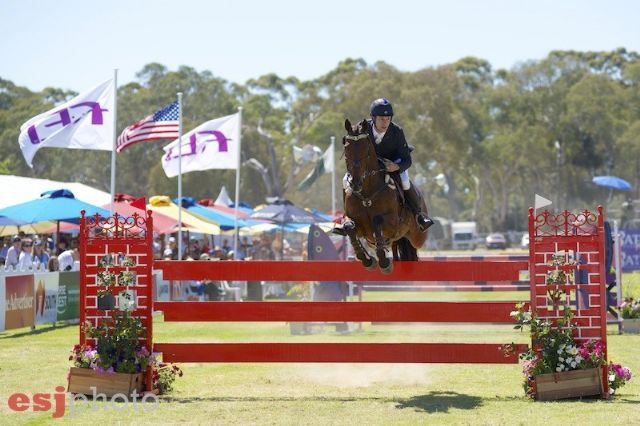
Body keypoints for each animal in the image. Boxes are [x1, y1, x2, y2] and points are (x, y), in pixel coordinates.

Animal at [342, 118, 428, 274]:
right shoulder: (356, 223)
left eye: (367, 149)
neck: (367, 192)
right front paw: (368, 261)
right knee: (395, 247)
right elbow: (349, 228)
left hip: (418, 237)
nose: (355, 183)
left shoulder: (392, 223)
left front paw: (383, 262)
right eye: (346, 148)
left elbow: (377, 222)